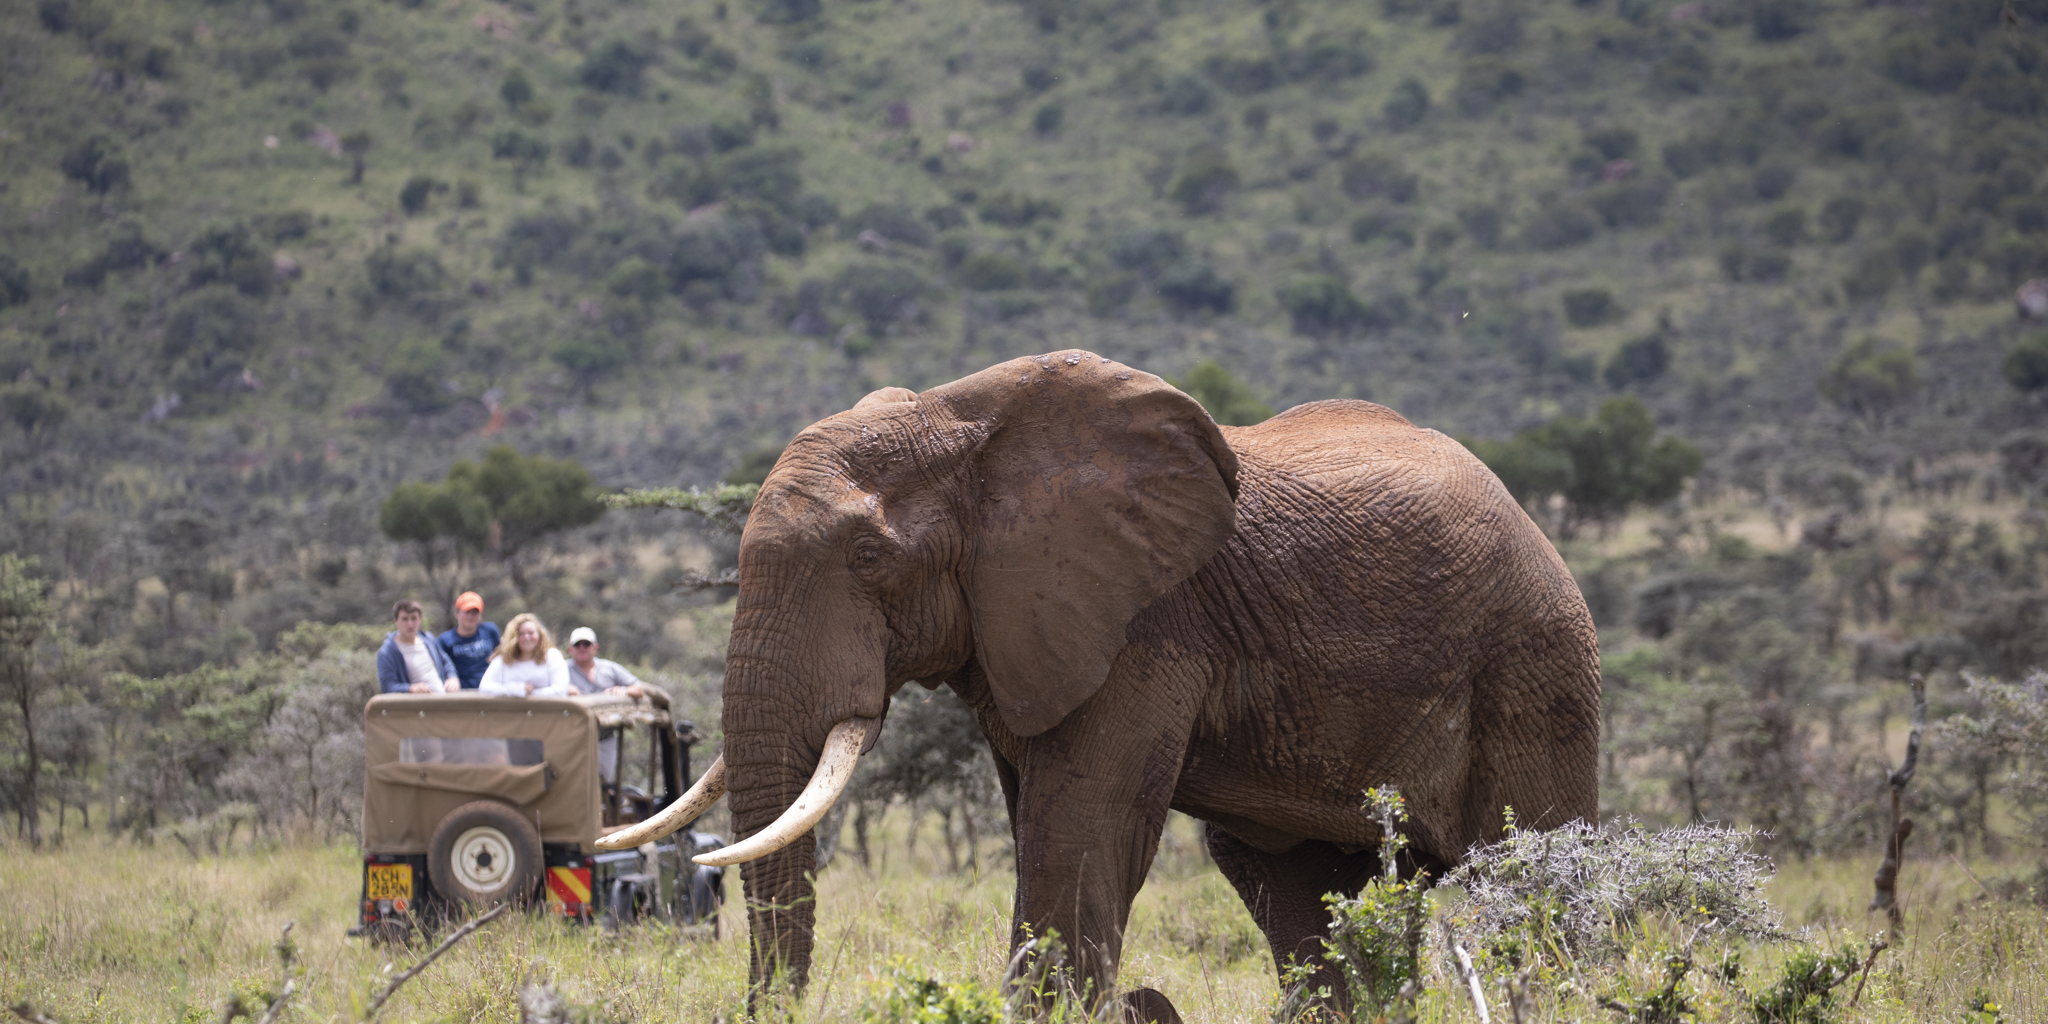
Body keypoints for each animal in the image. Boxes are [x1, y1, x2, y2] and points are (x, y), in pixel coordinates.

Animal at [604, 350, 1600, 1019]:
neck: (956, 426)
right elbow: (1041, 821)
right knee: (1300, 892)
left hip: (1537, 661)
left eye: (868, 558)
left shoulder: (1146, 623)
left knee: (1531, 876)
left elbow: (1083, 824)